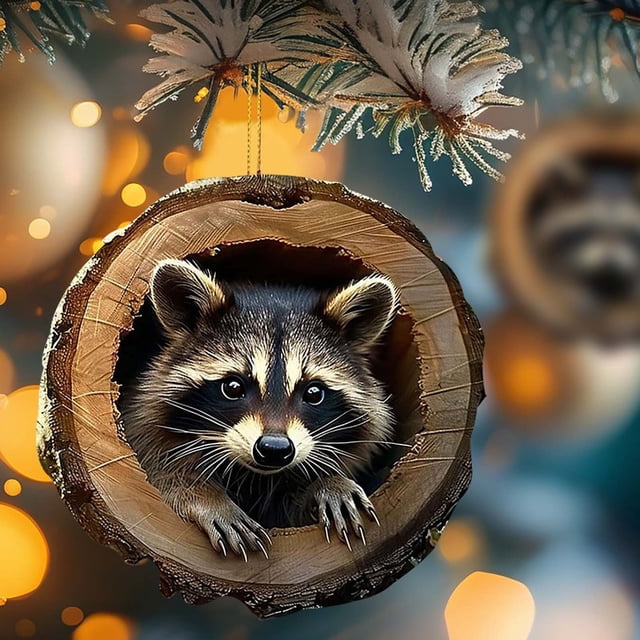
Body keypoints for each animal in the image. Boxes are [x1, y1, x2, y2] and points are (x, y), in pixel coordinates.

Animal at [121, 259, 399, 560]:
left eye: (313, 393)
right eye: (233, 387)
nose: (274, 449)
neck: (256, 476)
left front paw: (328, 483)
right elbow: (159, 476)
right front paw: (206, 497)